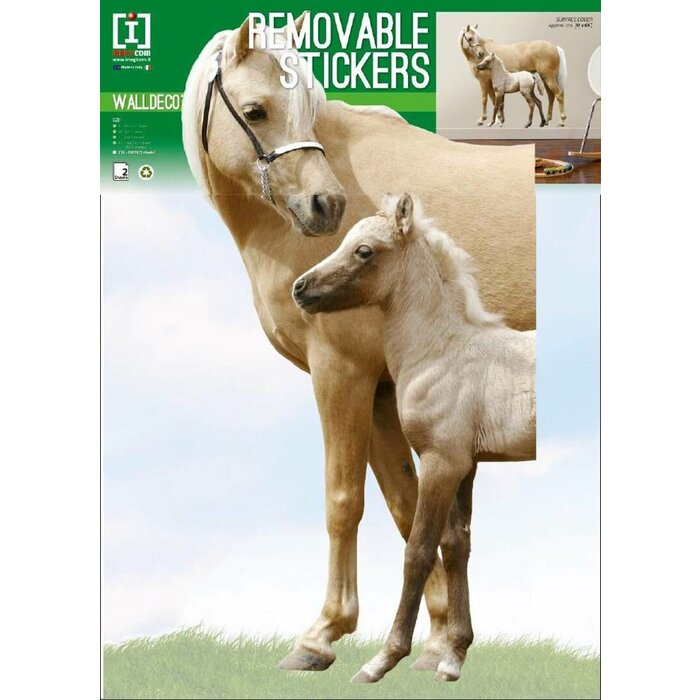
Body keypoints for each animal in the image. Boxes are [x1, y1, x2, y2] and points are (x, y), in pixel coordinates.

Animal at [293, 193, 536, 683]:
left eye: (364, 250)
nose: (300, 288)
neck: (443, 351)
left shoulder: (442, 461)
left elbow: (419, 550)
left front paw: (382, 661)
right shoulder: (466, 464)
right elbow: (457, 544)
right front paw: (453, 657)